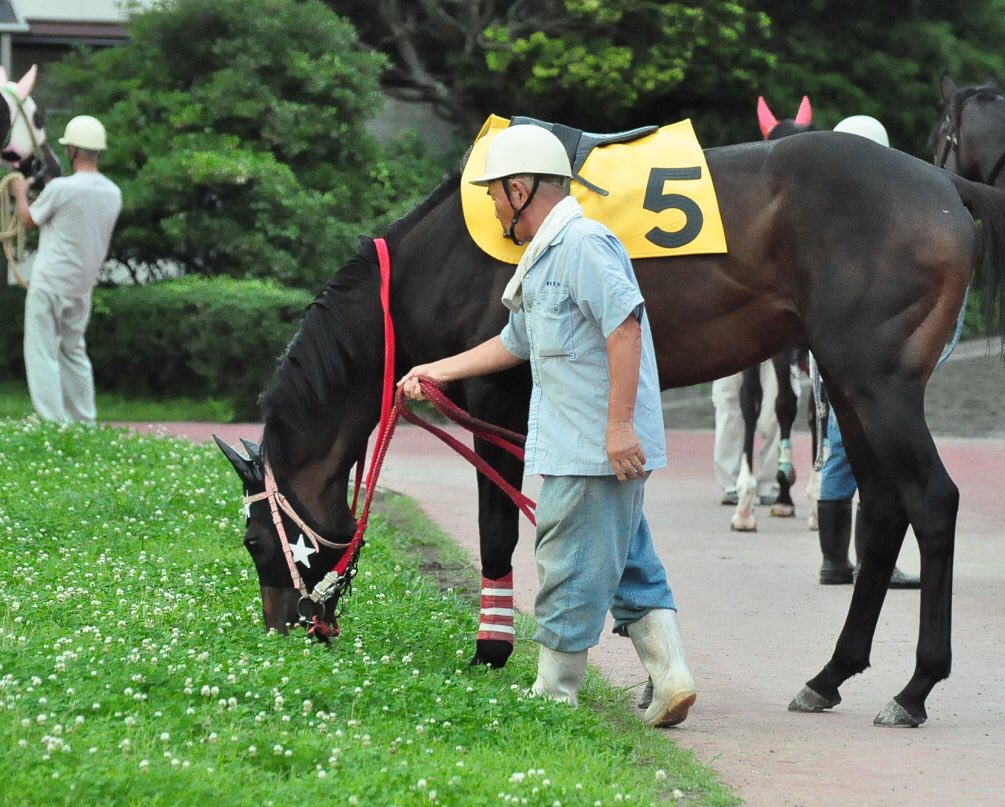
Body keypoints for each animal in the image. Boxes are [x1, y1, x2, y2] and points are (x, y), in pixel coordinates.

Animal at [218, 124, 1005, 727]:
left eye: (254, 541)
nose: (288, 627)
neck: (435, 262)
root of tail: (943, 186)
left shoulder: (496, 397)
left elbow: (498, 532)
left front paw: (491, 650)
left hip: (877, 380)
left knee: (932, 501)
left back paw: (913, 689)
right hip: (846, 380)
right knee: (884, 511)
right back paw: (830, 674)